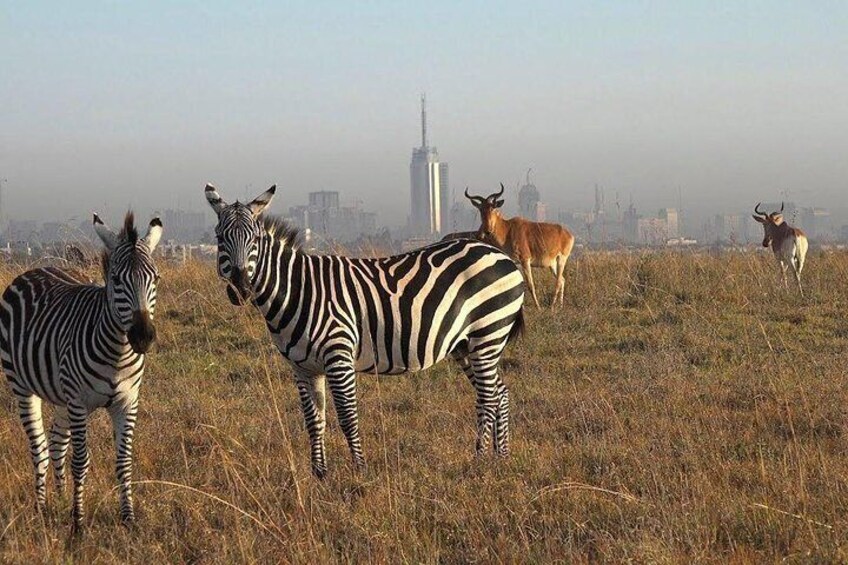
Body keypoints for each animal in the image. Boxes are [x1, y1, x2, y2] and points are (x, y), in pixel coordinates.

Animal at [0, 210, 162, 528]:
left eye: (156, 278)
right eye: (116, 279)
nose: (143, 337)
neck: (117, 352)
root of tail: (38, 268)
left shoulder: (127, 402)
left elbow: (124, 461)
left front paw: (128, 518)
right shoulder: (79, 402)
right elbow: (80, 461)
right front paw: (78, 522)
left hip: (62, 395)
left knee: (56, 443)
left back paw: (60, 498)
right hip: (22, 386)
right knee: (40, 448)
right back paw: (42, 507)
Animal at [205, 184, 524, 476]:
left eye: (255, 239)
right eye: (220, 238)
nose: (240, 289)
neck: (299, 291)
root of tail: (500, 255)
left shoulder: (338, 356)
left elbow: (347, 417)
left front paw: (360, 470)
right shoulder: (303, 367)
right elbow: (314, 421)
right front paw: (319, 474)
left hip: (488, 333)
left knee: (487, 397)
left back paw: (479, 460)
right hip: (466, 344)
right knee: (499, 392)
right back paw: (501, 457)